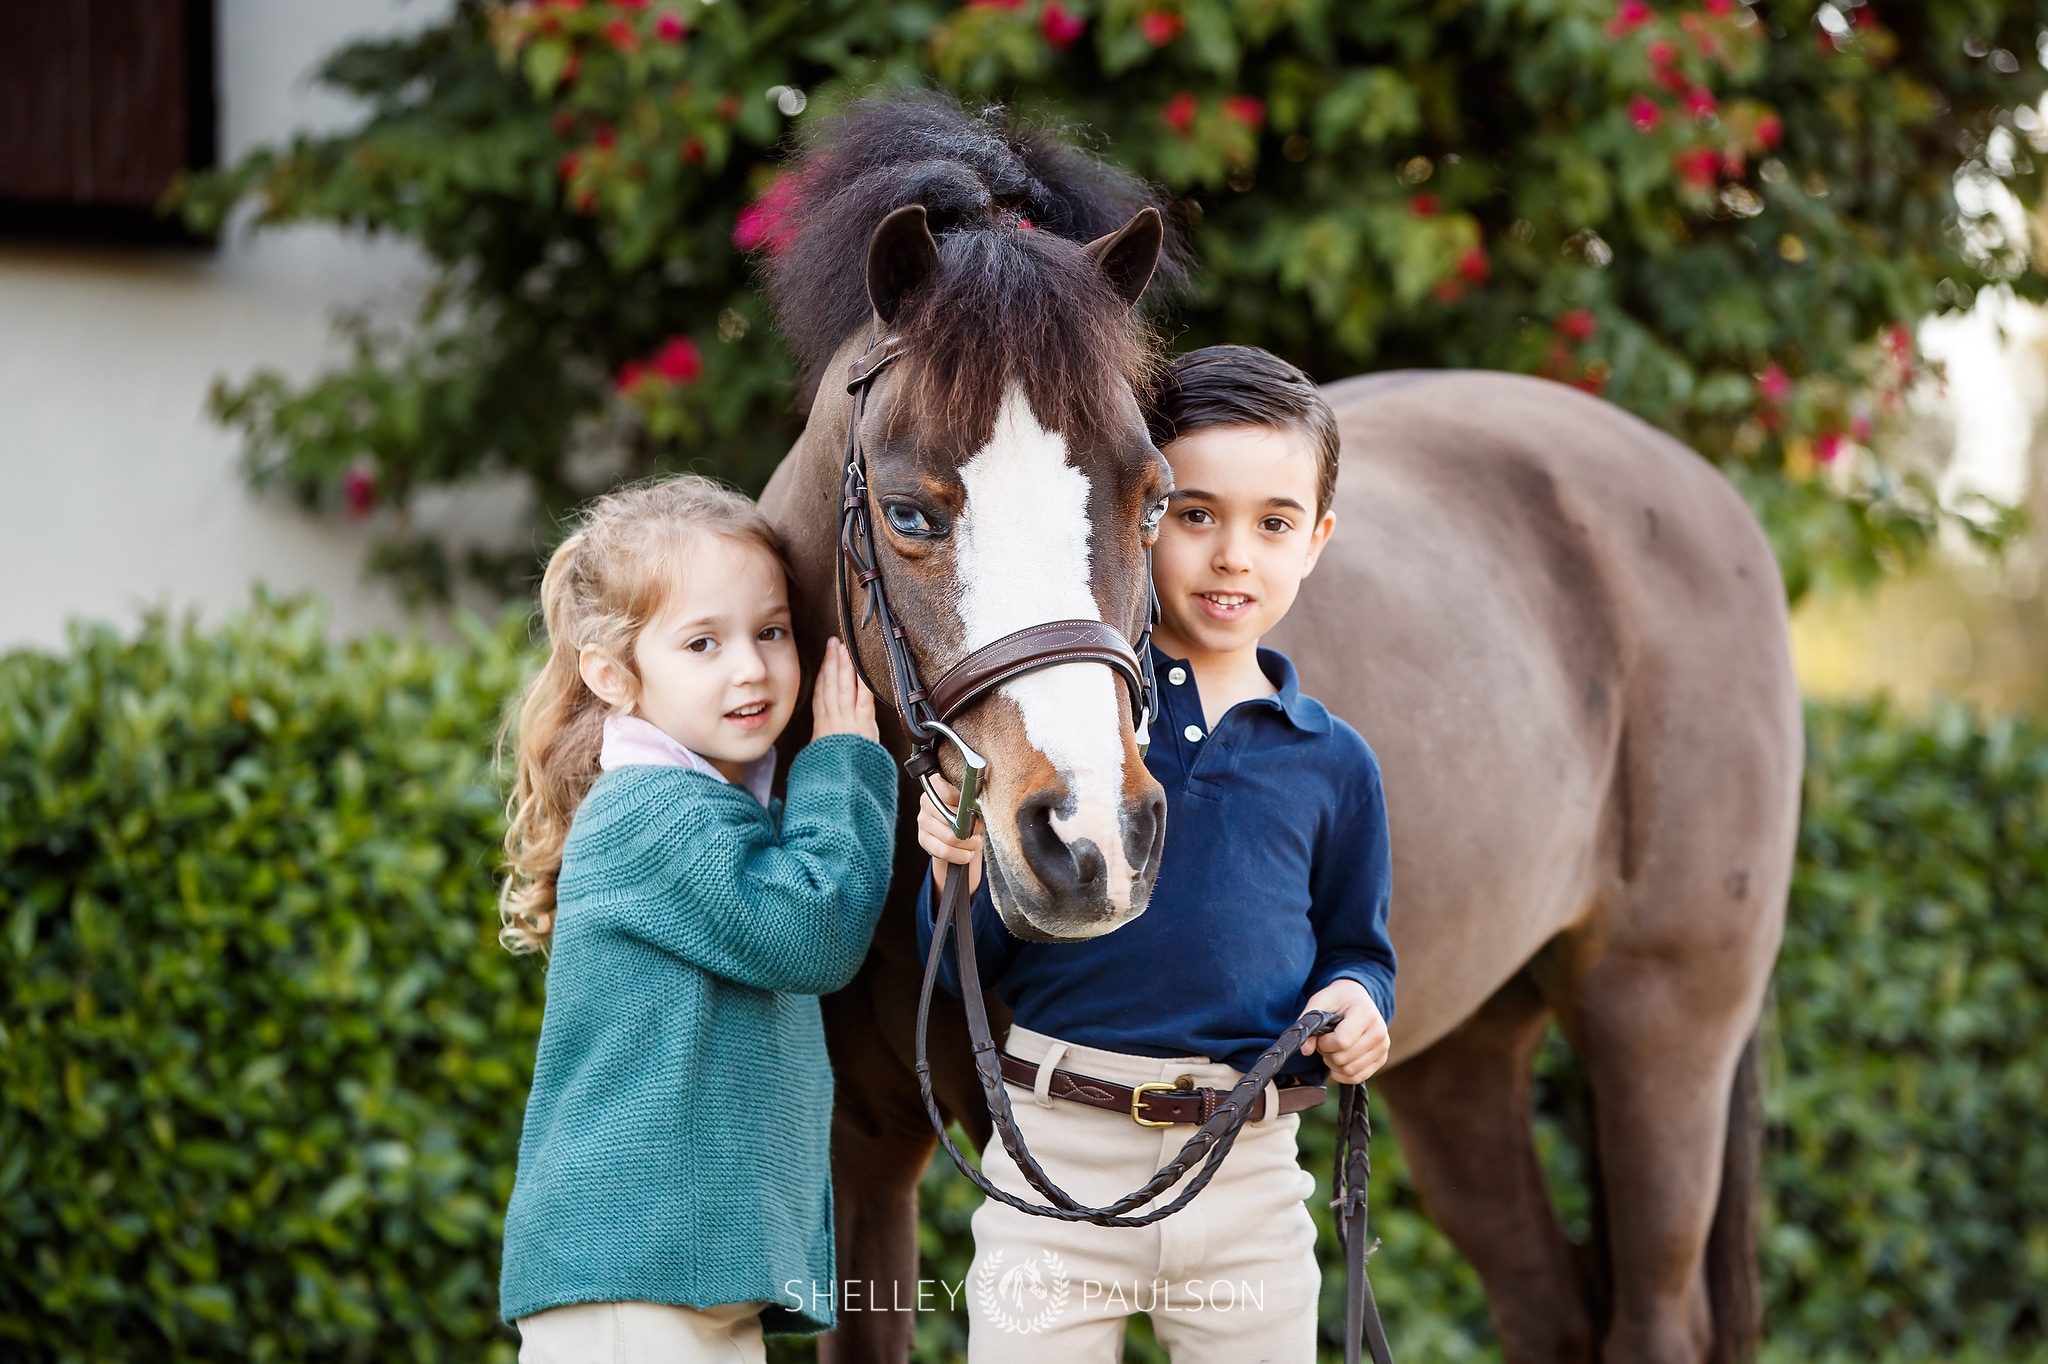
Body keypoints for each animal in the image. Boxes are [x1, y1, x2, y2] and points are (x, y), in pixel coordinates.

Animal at [761, 95, 1802, 1359]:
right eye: (909, 510)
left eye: (1150, 499)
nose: (1089, 843)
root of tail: (1709, 498)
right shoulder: (858, 1154)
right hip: (1463, 1059)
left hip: (1661, 1031)